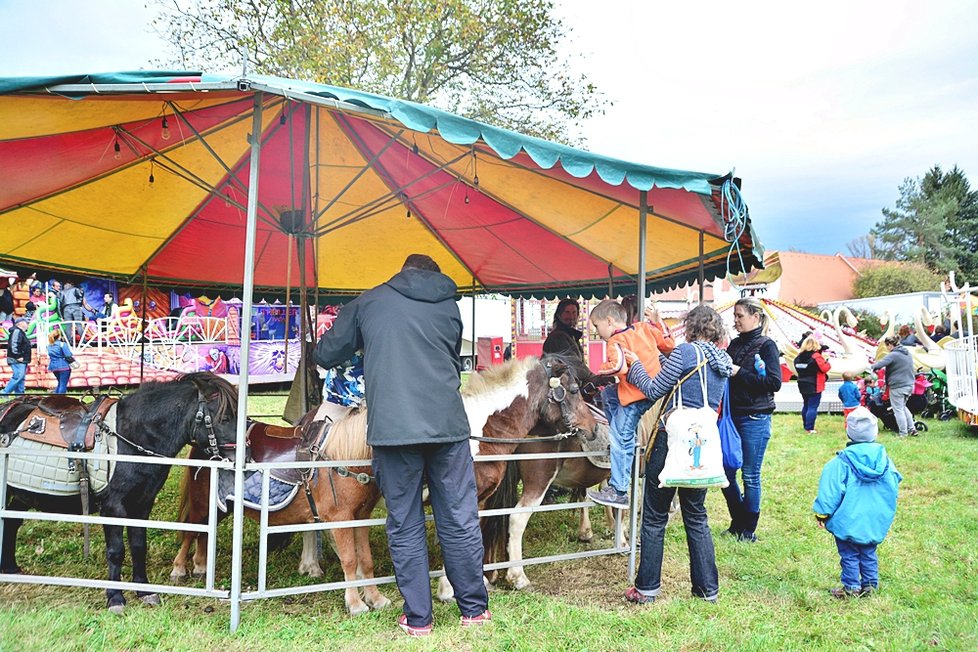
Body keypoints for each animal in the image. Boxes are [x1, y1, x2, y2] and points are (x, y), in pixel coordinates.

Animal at [0, 374, 236, 612]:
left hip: (24, 493)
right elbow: (116, 551)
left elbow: (139, 547)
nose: (243, 456)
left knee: (11, 522)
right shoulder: (113, 507)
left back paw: (10, 567)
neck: (131, 438)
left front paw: (144, 591)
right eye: (225, 417)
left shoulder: (142, 505)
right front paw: (115, 597)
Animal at [171, 352, 592, 612]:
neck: (477, 430)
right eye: (573, 390)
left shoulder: (483, 500)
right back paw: (184, 568)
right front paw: (449, 590)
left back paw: (308, 566)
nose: (590, 429)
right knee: (195, 524)